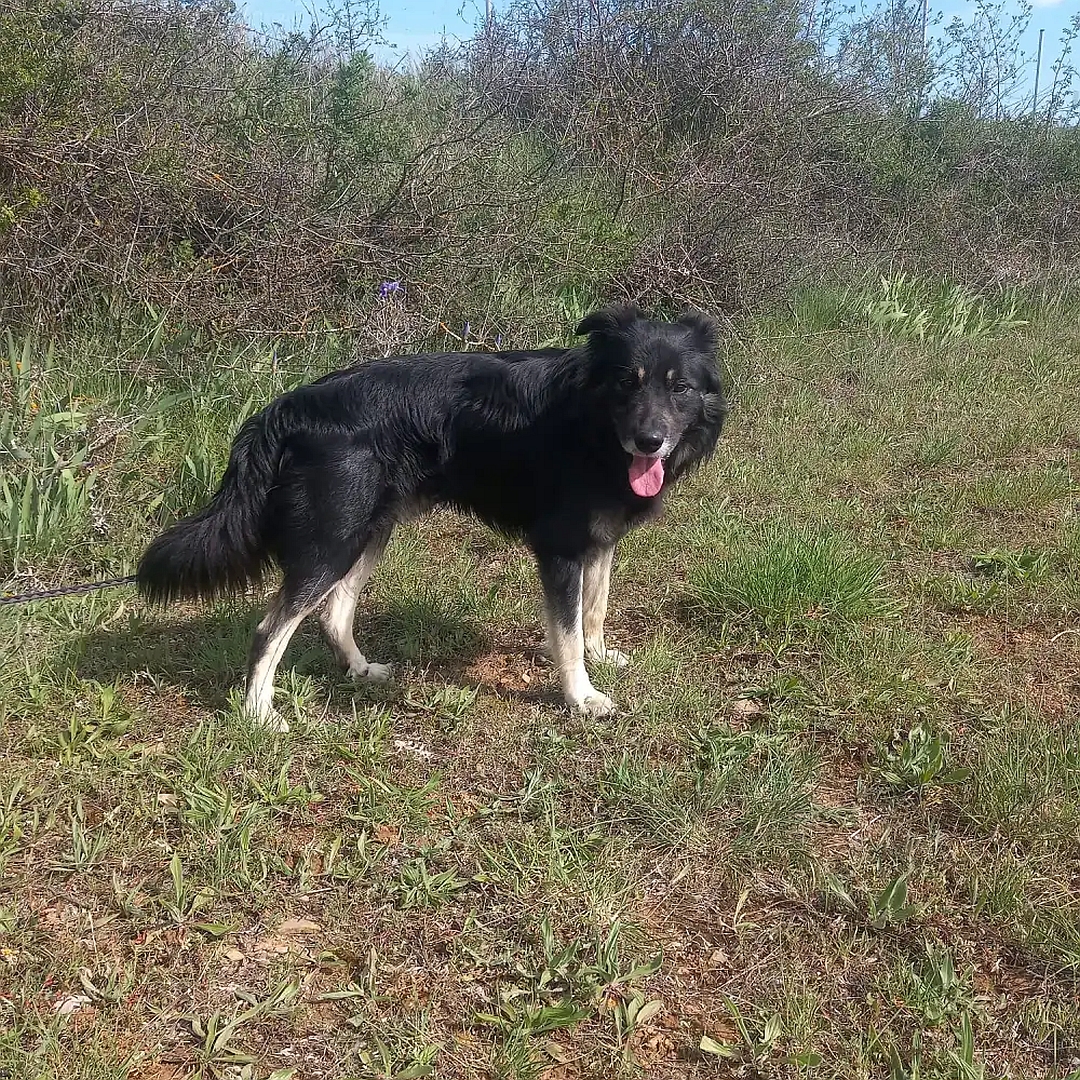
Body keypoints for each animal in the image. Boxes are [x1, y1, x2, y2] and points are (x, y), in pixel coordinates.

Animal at [135, 304, 725, 725]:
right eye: (629, 381)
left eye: (679, 387)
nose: (649, 442)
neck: (592, 423)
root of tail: (285, 408)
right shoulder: (559, 548)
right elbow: (567, 631)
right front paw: (581, 696)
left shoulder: (599, 539)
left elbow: (594, 612)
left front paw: (601, 658)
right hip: (332, 540)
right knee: (268, 628)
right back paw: (259, 714)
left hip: (368, 531)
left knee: (333, 613)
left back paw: (359, 669)